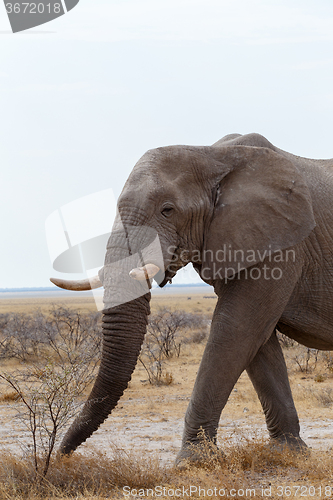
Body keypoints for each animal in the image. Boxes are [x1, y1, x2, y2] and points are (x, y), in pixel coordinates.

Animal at [50, 134, 332, 464]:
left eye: (167, 210)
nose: (61, 455)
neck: (214, 155)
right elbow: (257, 341)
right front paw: (287, 452)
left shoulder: (283, 244)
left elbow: (236, 329)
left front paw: (191, 462)